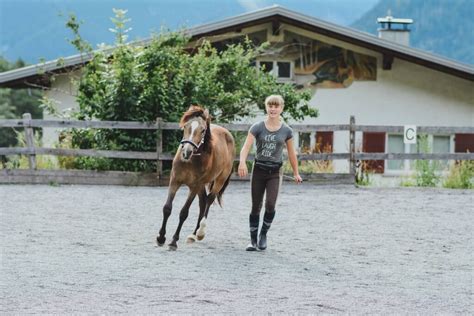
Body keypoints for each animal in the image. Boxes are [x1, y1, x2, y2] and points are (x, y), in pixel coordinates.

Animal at [156, 105, 236, 251]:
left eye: (203, 130)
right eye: (185, 126)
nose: (186, 152)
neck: (192, 160)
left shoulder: (194, 187)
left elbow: (184, 213)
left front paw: (173, 241)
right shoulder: (175, 181)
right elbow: (167, 208)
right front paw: (161, 238)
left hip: (219, 181)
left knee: (209, 200)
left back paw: (200, 232)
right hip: (201, 186)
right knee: (203, 202)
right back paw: (193, 235)